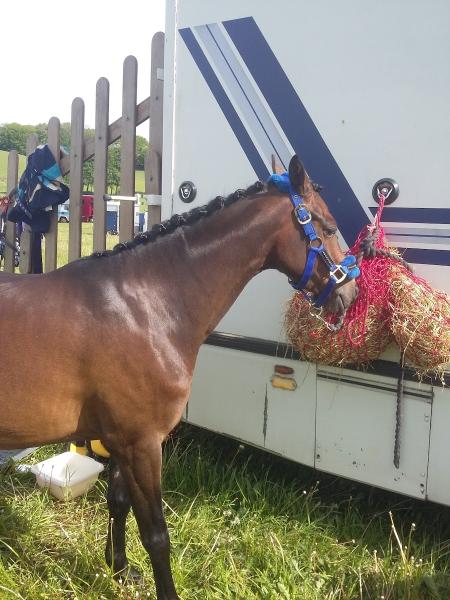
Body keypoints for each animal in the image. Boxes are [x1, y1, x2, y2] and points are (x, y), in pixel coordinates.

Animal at [0, 157, 358, 596]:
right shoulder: (142, 444)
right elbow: (156, 534)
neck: (145, 304)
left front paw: (120, 569)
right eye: (328, 226)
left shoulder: (120, 440)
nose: (350, 294)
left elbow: (118, 504)